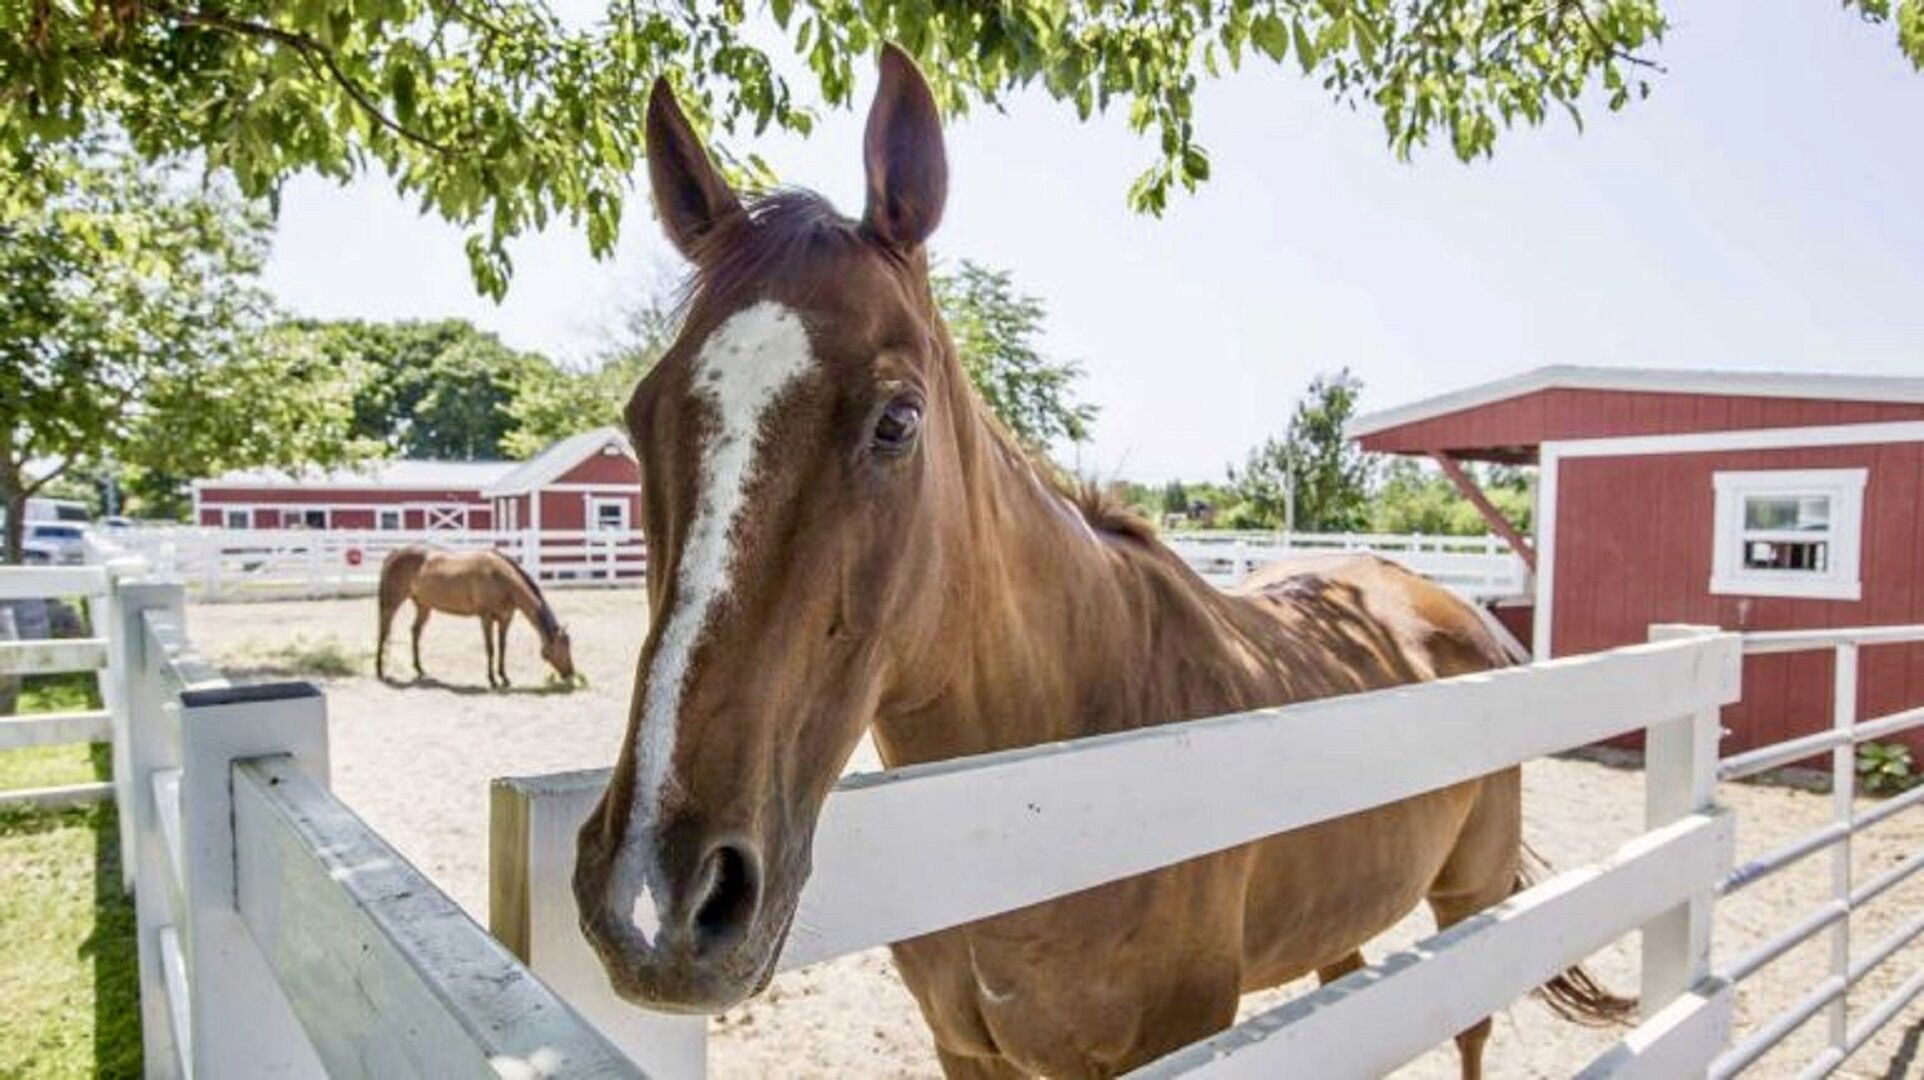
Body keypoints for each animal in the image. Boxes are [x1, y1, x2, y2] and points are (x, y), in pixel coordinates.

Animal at [375, 545, 575, 688]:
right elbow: (491, 648)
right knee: (383, 631)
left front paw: (504, 678)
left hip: (423, 606)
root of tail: (394, 554)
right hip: (392, 604)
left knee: (415, 632)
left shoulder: (505, 619)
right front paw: (492, 680)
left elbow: (502, 647)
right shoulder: (485, 618)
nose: (571, 674)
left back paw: (420, 669)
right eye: (562, 647)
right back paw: (380, 671)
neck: (501, 579)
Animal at [571, 47, 1631, 1079]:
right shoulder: (966, 1050)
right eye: (639, 418)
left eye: (898, 420)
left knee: (1472, 1030)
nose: (662, 898)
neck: (1061, 779)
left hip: (1473, 902)